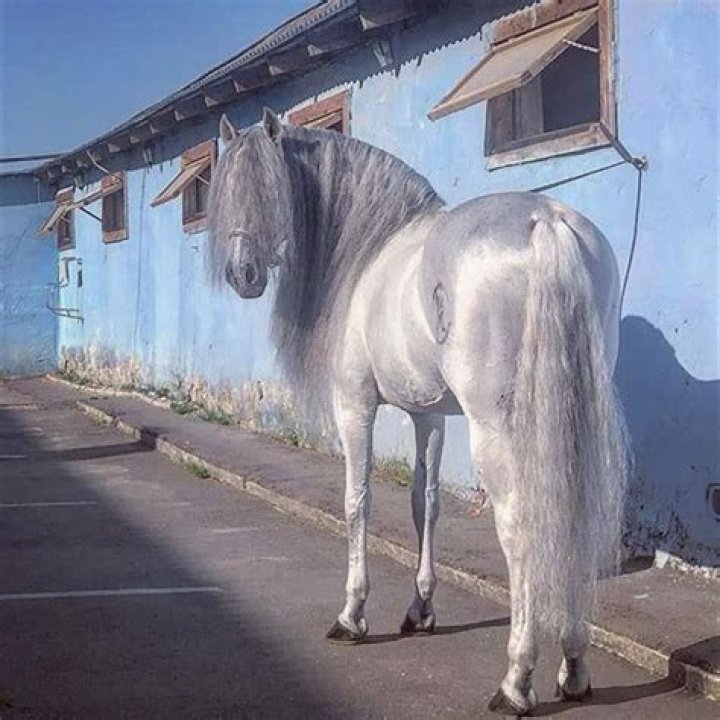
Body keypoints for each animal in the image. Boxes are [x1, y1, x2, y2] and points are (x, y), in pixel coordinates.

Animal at [207, 109, 628, 716]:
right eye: (228, 188)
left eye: (270, 186)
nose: (243, 274)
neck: (368, 253)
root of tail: (545, 221)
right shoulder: (428, 416)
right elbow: (423, 504)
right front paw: (420, 609)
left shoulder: (355, 404)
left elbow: (357, 502)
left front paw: (352, 616)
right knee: (568, 513)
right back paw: (572, 666)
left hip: (496, 431)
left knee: (522, 527)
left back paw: (516, 680)